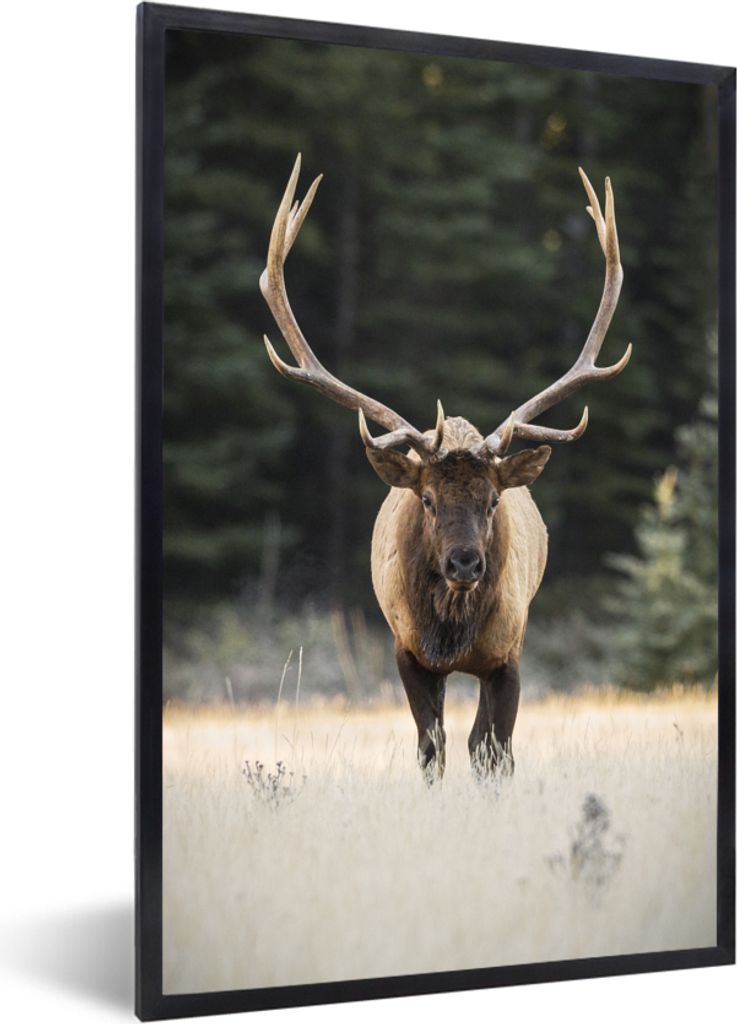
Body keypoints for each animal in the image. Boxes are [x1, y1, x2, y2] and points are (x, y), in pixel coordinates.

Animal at [259, 154, 630, 779]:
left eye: (494, 499)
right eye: (427, 500)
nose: (464, 562)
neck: (450, 637)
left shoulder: (509, 652)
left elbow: (494, 751)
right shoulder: (406, 651)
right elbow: (431, 749)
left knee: (485, 741)